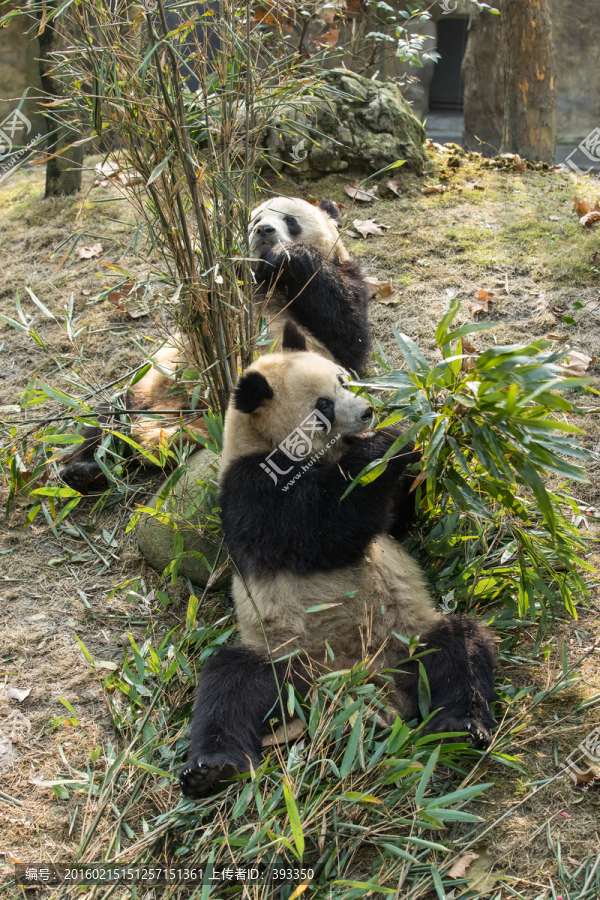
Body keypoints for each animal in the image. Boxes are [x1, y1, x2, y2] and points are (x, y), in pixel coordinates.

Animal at [61, 199, 370, 492]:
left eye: (290, 220)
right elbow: (197, 301)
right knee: (105, 421)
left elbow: (345, 331)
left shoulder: (342, 286)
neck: (267, 278)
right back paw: (82, 469)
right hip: (145, 390)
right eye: (254, 220)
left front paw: (288, 253)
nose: (264, 231)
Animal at [178, 320, 496, 800]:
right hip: (286, 659)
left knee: (461, 651)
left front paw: (433, 429)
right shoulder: (249, 485)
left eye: (344, 380)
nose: (368, 412)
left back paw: (458, 725)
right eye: (323, 406)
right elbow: (319, 526)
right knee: (230, 685)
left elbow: (395, 523)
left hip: (409, 638)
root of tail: (362, 683)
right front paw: (391, 442)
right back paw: (213, 768)